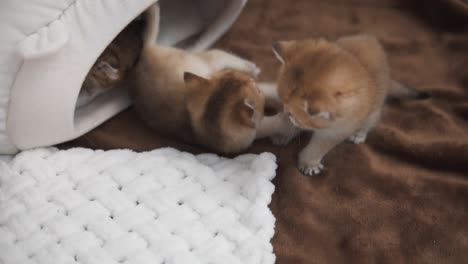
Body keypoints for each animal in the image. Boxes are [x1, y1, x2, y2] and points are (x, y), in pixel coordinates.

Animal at [270, 34, 428, 176]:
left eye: (293, 115)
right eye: (283, 105)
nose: (286, 115)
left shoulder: (339, 129)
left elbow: (319, 147)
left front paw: (309, 163)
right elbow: (290, 127)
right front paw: (282, 134)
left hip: (374, 110)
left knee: (371, 121)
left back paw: (359, 134)